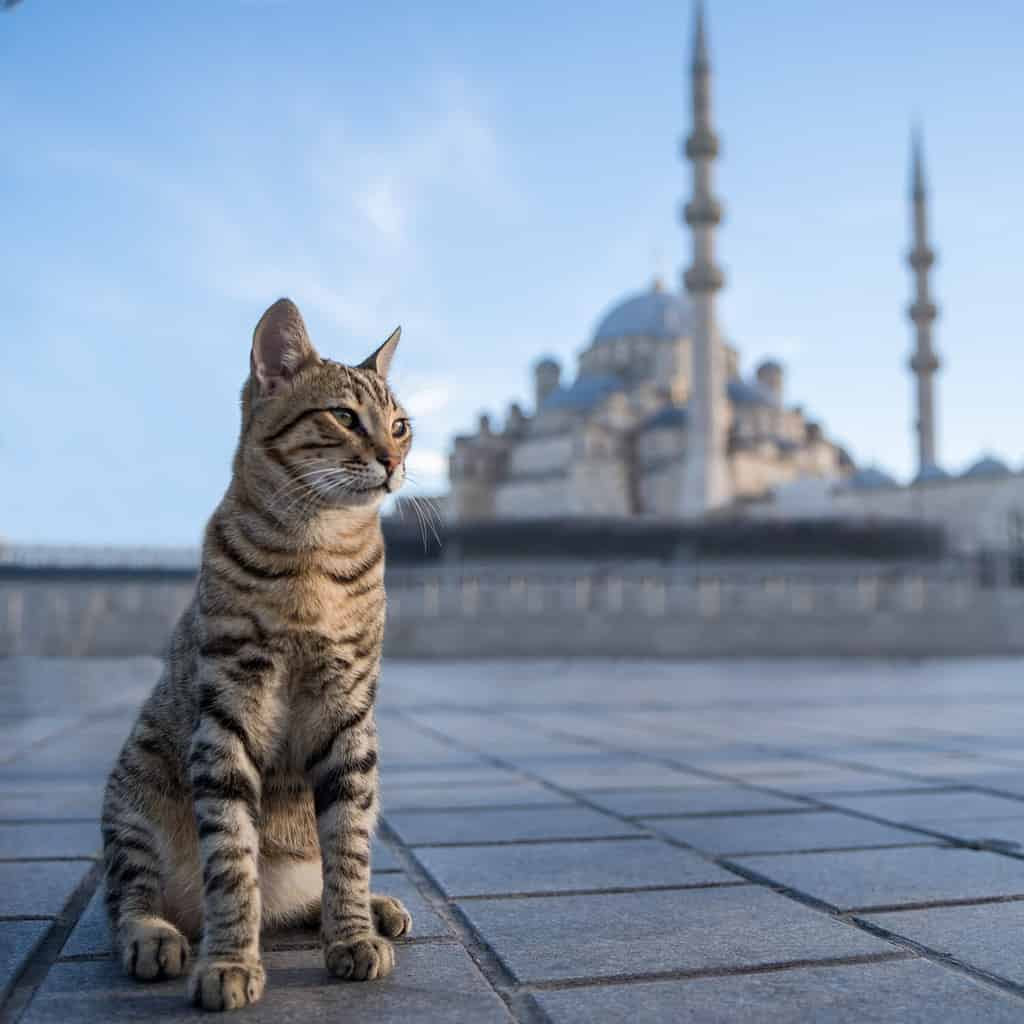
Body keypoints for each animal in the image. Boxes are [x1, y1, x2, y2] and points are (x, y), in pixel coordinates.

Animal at [98, 296, 411, 1007]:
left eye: (401, 425)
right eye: (344, 416)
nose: (391, 459)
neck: (316, 552)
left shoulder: (350, 711)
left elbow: (348, 843)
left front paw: (352, 933)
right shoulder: (228, 710)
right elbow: (232, 860)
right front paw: (231, 963)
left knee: (312, 884)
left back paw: (376, 908)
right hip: (134, 801)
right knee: (128, 896)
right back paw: (155, 936)